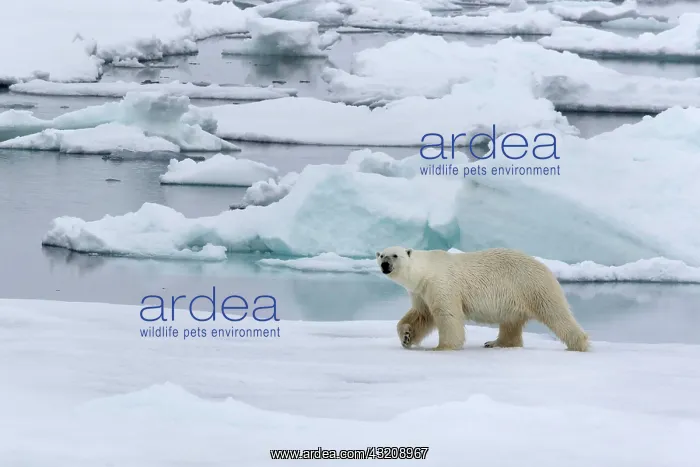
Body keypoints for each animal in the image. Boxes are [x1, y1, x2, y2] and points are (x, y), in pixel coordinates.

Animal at [375, 246, 589, 352]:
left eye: (395, 255)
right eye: (381, 255)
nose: (385, 265)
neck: (426, 270)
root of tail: (546, 269)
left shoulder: (442, 283)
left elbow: (447, 315)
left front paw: (442, 347)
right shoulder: (421, 291)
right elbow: (421, 314)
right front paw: (406, 336)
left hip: (532, 287)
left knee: (556, 315)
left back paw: (580, 345)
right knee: (511, 323)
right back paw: (496, 343)